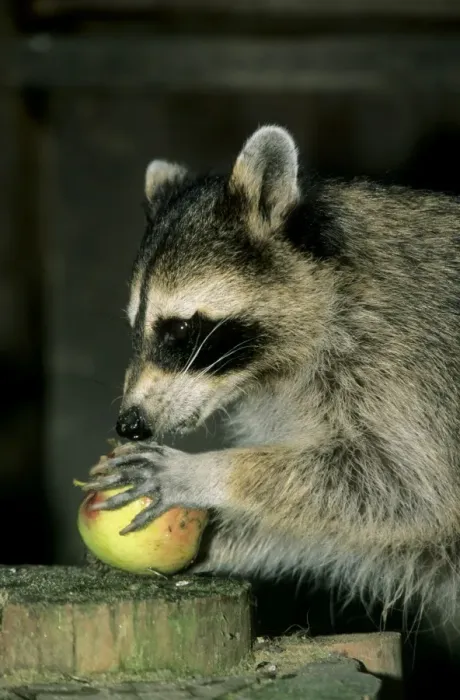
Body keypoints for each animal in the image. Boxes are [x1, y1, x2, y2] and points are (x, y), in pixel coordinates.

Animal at [88, 125, 460, 624]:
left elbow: (410, 489)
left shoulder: (406, 363)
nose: (130, 423)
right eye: (134, 328)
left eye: (180, 330)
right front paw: (216, 538)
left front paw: (207, 471)